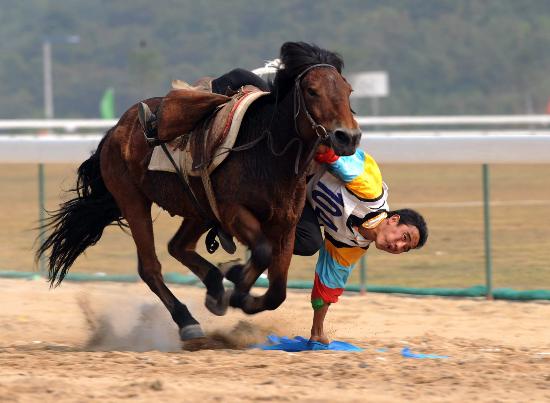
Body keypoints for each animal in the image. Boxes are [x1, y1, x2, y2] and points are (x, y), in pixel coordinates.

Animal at [35, 42, 362, 342]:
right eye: (311, 90)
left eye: (348, 90)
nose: (347, 137)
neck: (265, 151)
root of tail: (116, 130)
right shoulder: (233, 212)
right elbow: (261, 252)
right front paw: (237, 289)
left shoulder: (285, 224)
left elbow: (277, 291)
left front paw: (236, 285)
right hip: (133, 199)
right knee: (150, 267)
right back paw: (188, 320)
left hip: (197, 209)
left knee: (177, 246)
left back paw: (217, 286)